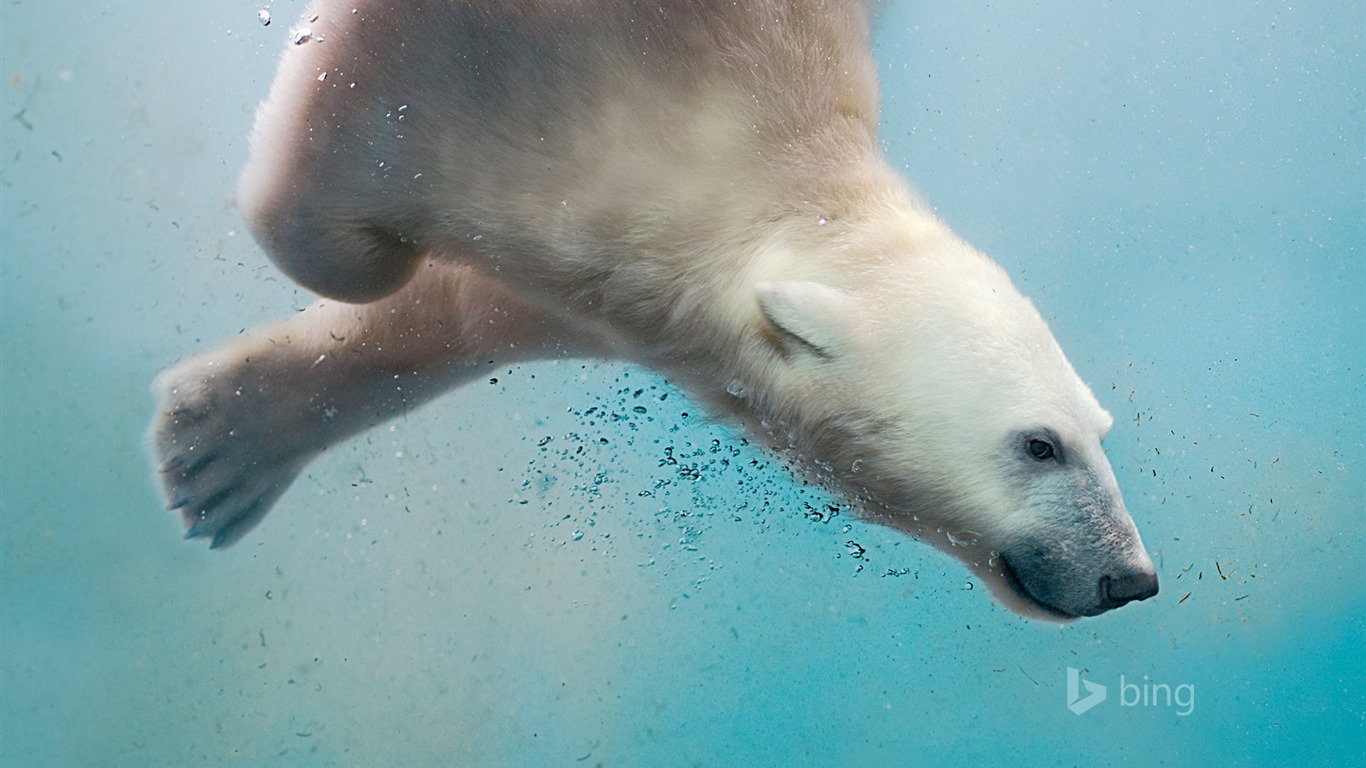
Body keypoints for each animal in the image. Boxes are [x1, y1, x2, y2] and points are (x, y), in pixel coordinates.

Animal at [149, 0, 1158, 617]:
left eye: (1099, 429)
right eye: (1039, 444)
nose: (1132, 577)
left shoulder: (612, 273)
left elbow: (482, 307)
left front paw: (218, 447)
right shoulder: (497, 70)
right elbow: (344, 237)